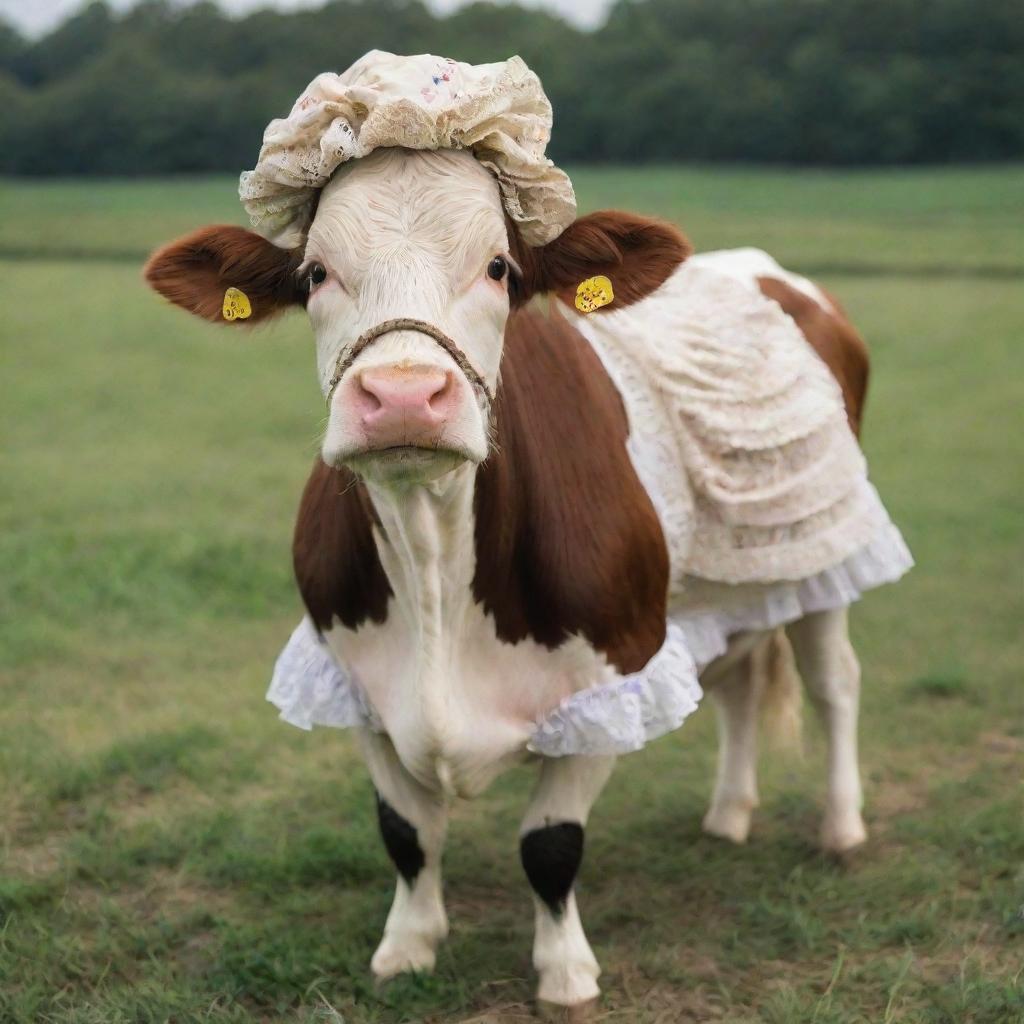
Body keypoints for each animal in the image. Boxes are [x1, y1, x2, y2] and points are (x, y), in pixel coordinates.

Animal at [146, 146, 913, 1015]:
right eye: (314, 273)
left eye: (499, 266)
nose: (404, 397)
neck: (436, 567)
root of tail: (762, 267)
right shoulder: (355, 685)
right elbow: (406, 834)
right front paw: (408, 945)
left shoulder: (609, 680)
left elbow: (551, 846)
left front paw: (565, 973)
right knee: (740, 681)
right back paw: (728, 813)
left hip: (825, 556)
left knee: (833, 682)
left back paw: (842, 827)